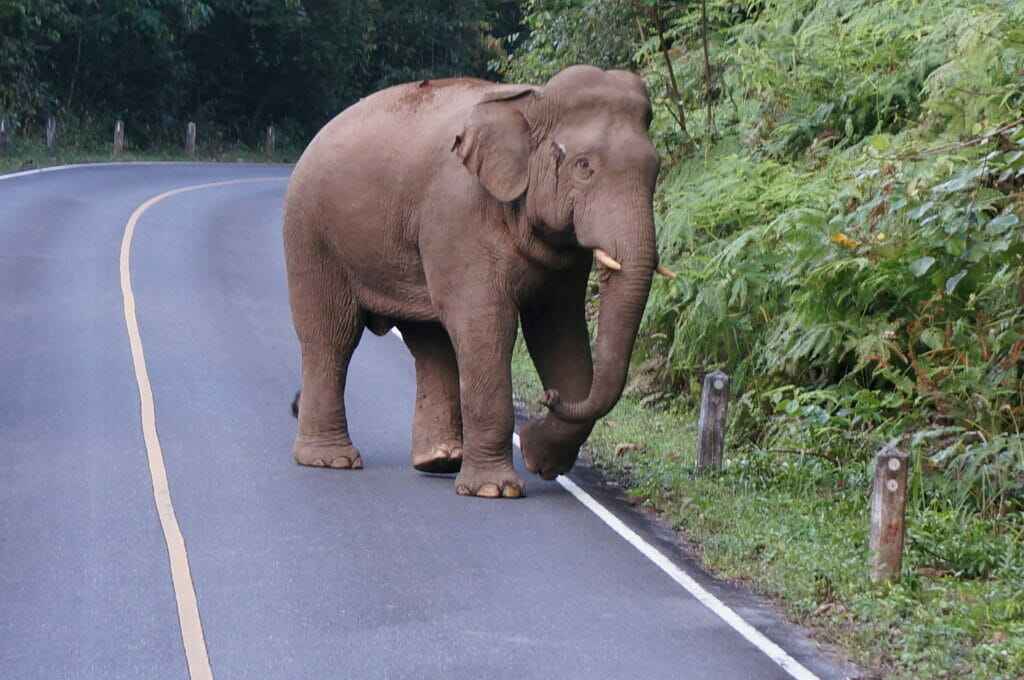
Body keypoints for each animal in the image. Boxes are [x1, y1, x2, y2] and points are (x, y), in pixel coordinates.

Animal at [284, 65, 667, 499]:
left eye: (656, 169)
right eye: (584, 166)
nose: (546, 398)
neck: (531, 101)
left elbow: (557, 330)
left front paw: (538, 457)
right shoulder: (458, 213)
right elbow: (486, 322)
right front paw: (495, 490)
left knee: (430, 341)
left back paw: (439, 459)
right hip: (311, 234)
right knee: (332, 335)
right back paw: (330, 460)